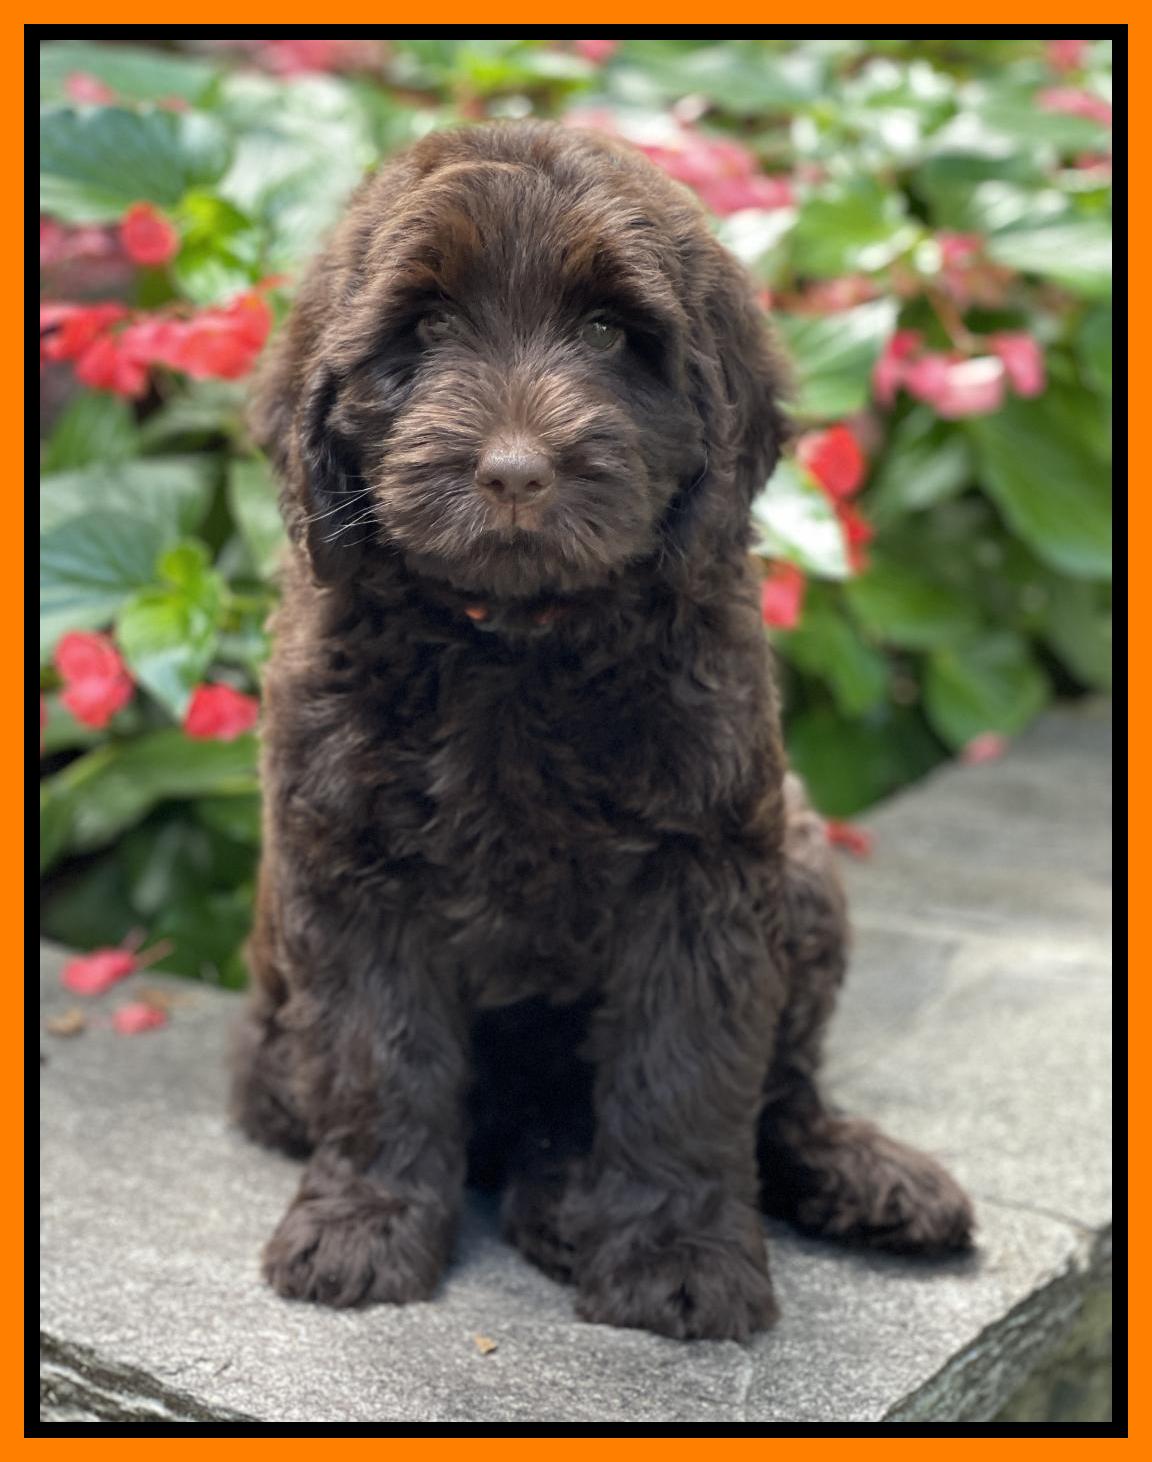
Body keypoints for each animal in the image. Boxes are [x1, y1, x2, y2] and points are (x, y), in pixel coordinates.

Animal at [232, 120, 973, 1341]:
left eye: (607, 334)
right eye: (427, 328)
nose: (515, 472)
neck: (515, 643)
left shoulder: (704, 863)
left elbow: (687, 1067)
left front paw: (676, 1257)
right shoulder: (349, 864)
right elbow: (378, 1052)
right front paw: (363, 1229)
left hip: (802, 857)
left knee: (781, 1094)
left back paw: (859, 1175)